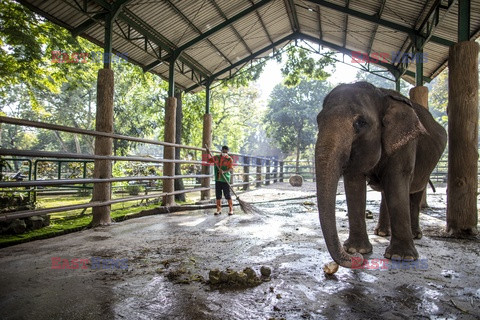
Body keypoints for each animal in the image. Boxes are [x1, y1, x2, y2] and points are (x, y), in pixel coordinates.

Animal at [316, 82, 446, 268]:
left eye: (360, 123)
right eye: (318, 121)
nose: (356, 259)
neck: (379, 94)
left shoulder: (405, 142)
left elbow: (397, 180)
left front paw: (401, 257)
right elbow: (354, 183)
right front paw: (358, 249)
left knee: (415, 191)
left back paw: (415, 235)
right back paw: (383, 233)